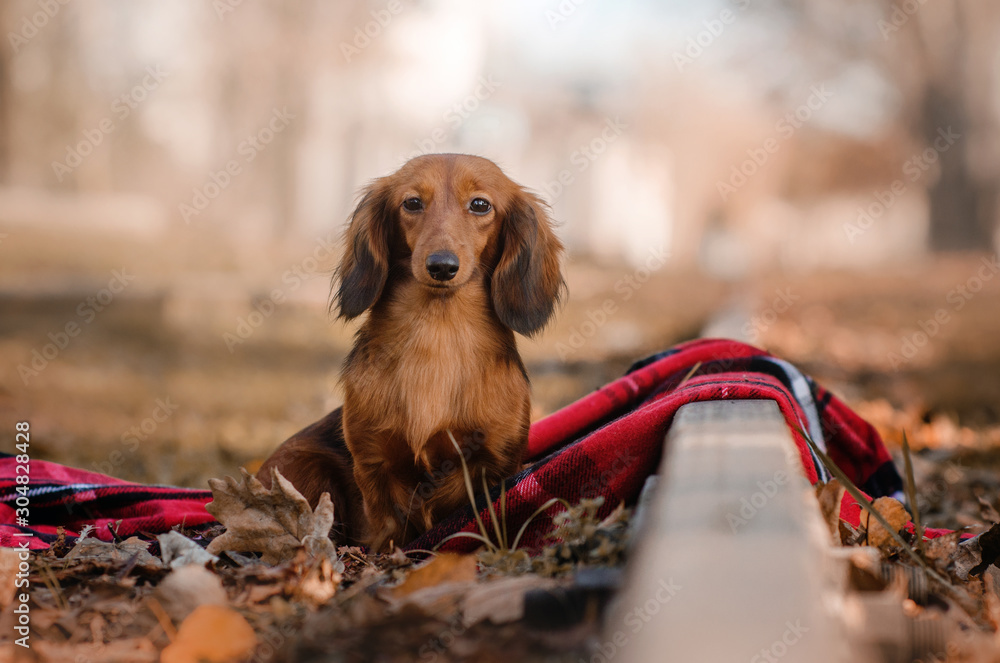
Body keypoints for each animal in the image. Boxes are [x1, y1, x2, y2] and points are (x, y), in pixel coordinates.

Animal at [258, 154, 564, 548]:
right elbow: (388, 532)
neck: (437, 333)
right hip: (306, 467)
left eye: (481, 204)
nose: (442, 266)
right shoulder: (375, 463)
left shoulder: (496, 461)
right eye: (413, 203)